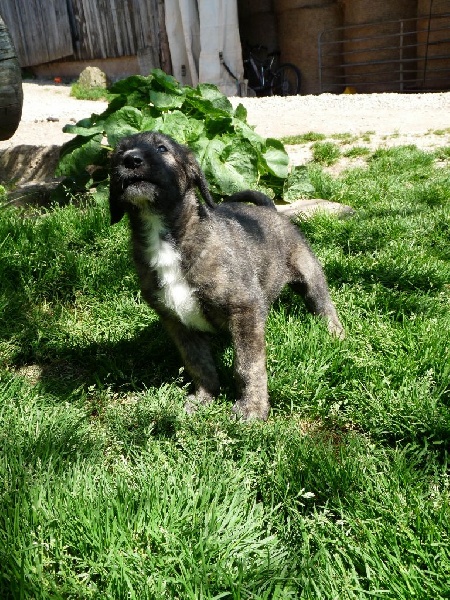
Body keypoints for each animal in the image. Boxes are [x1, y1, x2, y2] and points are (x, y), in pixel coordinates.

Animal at [109, 131, 344, 420]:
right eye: (118, 154)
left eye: (162, 148)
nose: (130, 160)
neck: (169, 237)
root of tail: (270, 208)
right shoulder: (177, 323)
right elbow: (198, 364)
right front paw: (205, 397)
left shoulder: (245, 310)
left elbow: (247, 365)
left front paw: (252, 408)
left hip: (309, 272)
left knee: (323, 304)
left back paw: (335, 334)